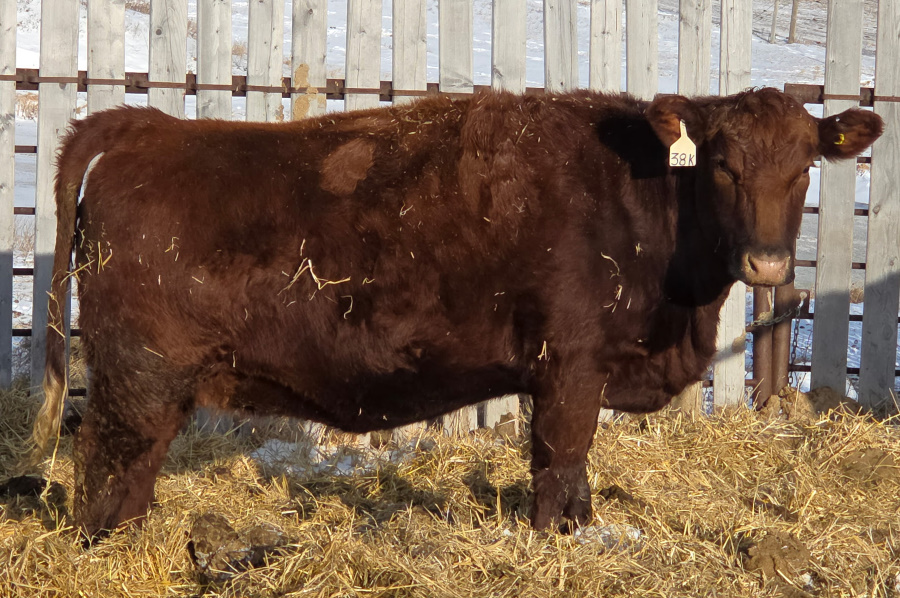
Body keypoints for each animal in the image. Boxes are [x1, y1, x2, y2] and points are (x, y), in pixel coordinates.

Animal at [31, 87, 882, 540]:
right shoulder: (570, 368)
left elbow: (572, 471)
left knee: (134, 461)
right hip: (138, 374)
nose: (768, 262)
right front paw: (553, 540)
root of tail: (150, 125)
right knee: (105, 456)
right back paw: (108, 546)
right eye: (723, 165)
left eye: (805, 167)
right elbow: (560, 461)